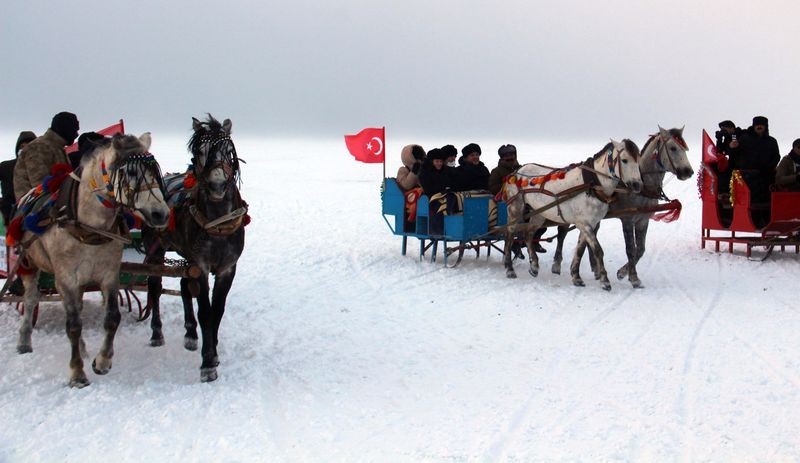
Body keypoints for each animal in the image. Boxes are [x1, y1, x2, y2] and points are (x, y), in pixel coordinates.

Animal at [15, 134, 170, 388]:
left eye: (155, 172)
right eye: (131, 172)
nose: (161, 214)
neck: (88, 226)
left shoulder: (109, 275)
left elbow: (112, 318)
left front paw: (103, 361)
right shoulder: (66, 278)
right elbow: (73, 326)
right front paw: (77, 374)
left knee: (76, 308)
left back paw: (84, 350)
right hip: (28, 263)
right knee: (30, 300)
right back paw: (24, 341)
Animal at [143, 116, 244, 384]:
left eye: (229, 151)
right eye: (199, 151)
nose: (218, 184)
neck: (218, 223)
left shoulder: (227, 268)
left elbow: (217, 311)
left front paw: (214, 352)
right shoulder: (201, 264)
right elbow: (206, 312)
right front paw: (207, 363)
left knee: (183, 286)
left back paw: (190, 333)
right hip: (155, 250)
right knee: (155, 287)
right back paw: (157, 333)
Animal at [500, 140, 644, 290]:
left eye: (638, 160)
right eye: (624, 160)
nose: (638, 185)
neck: (592, 184)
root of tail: (515, 172)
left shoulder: (589, 224)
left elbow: (580, 250)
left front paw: (576, 276)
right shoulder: (584, 224)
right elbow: (598, 250)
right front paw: (604, 280)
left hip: (539, 213)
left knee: (528, 234)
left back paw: (534, 265)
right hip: (515, 209)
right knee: (509, 236)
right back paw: (509, 268)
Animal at [552, 127, 692, 286]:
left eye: (684, 148)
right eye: (673, 148)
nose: (688, 171)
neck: (644, 187)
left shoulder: (643, 220)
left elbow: (640, 249)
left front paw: (623, 272)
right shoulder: (627, 219)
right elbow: (630, 249)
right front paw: (632, 277)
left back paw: (595, 268)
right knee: (562, 233)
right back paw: (557, 264)